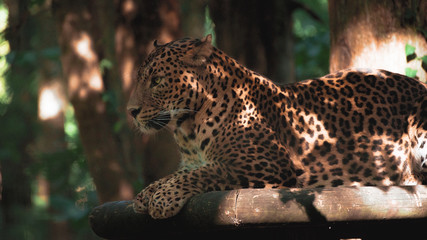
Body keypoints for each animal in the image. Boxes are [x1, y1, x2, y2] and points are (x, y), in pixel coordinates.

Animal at [127, 34, 427, 220]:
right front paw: (147, 193)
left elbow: (208, 172)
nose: (131, 112)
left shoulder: (264, 165)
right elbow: (178, 173)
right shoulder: (191, 162)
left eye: (157, 80)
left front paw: (163, 198)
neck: (188, 126)